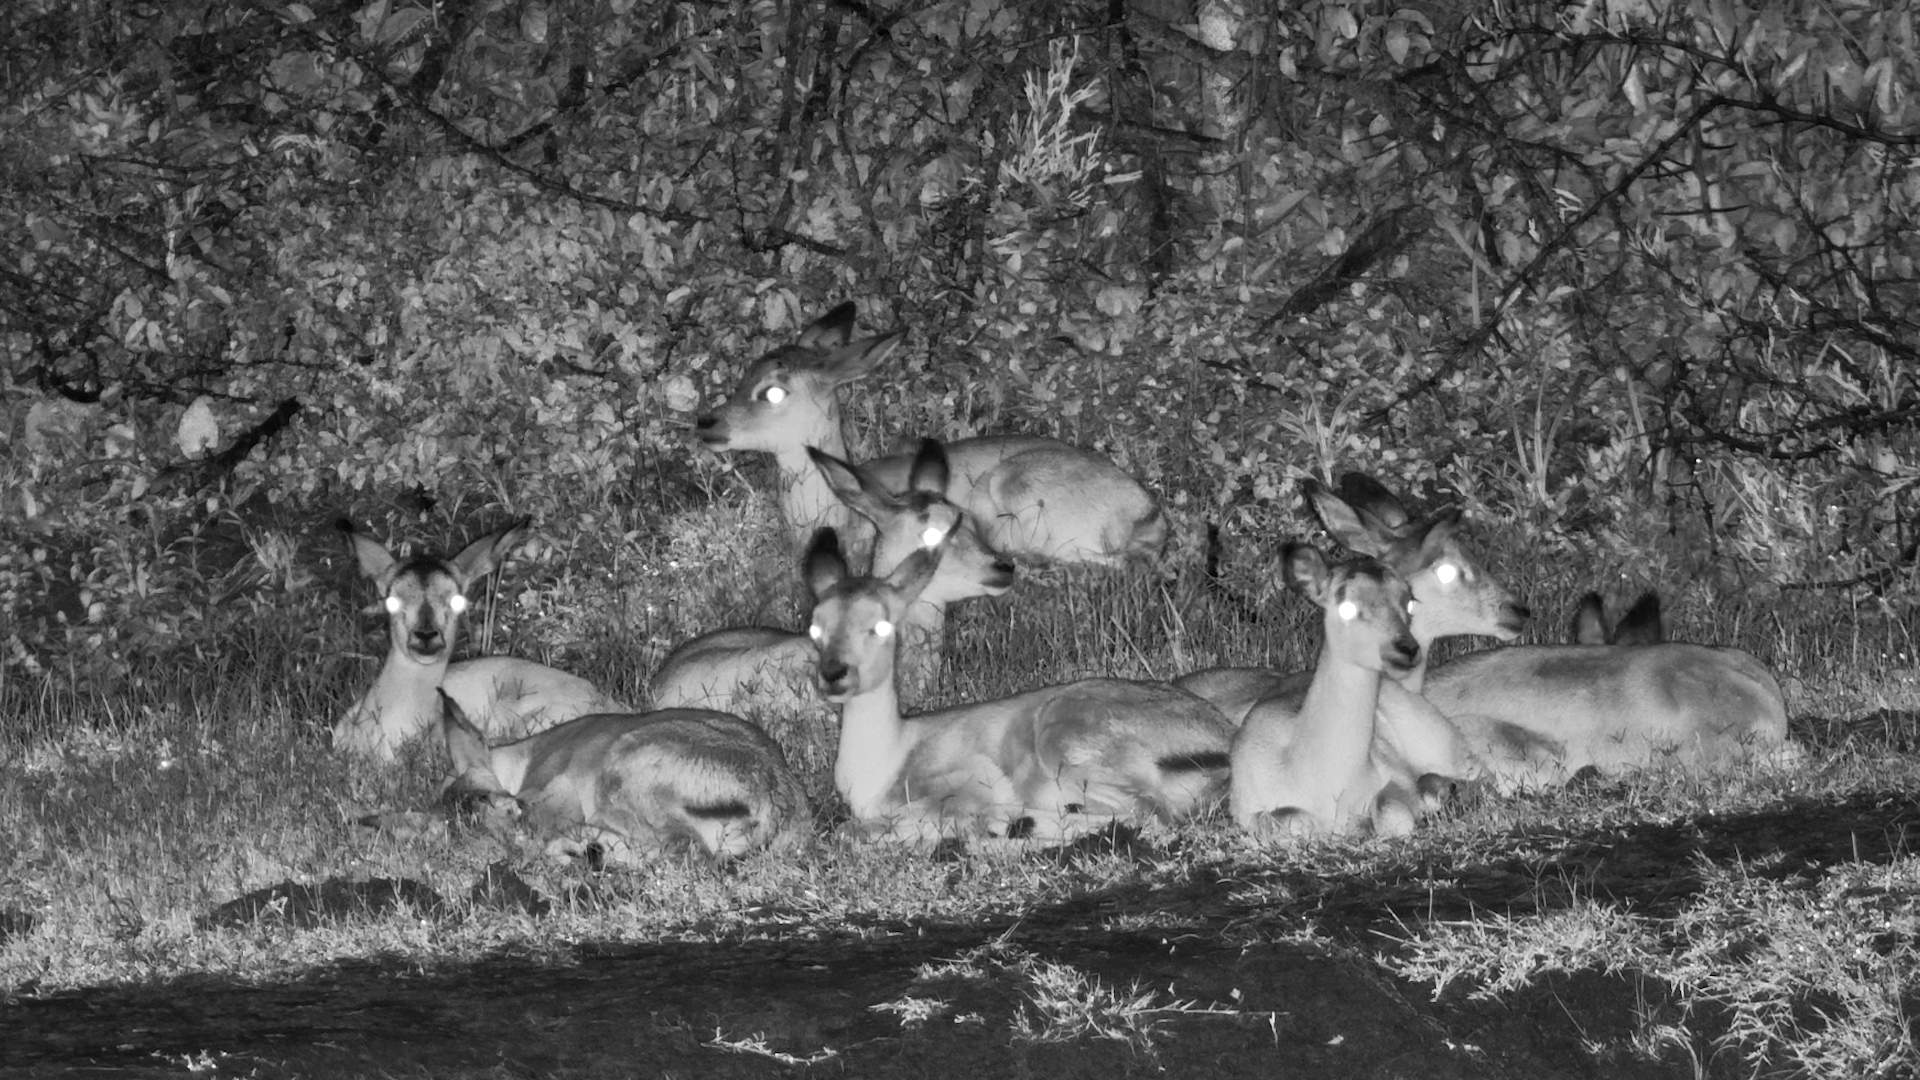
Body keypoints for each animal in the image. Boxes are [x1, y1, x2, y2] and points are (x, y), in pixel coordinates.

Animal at [804, 527, 1233, 845]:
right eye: (816, 624)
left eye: (880, 624)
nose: (834, 673)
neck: (885, 761)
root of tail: (1222, 741)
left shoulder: (966, 788)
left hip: (1065, 748)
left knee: (1149, 813)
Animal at [1231, 545, 1448, 838]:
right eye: (1346, 606)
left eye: (1410, 601)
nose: (1407, 648)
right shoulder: (1245, 809)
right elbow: (1293, 819)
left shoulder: (1395, 774)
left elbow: (1393, 813)